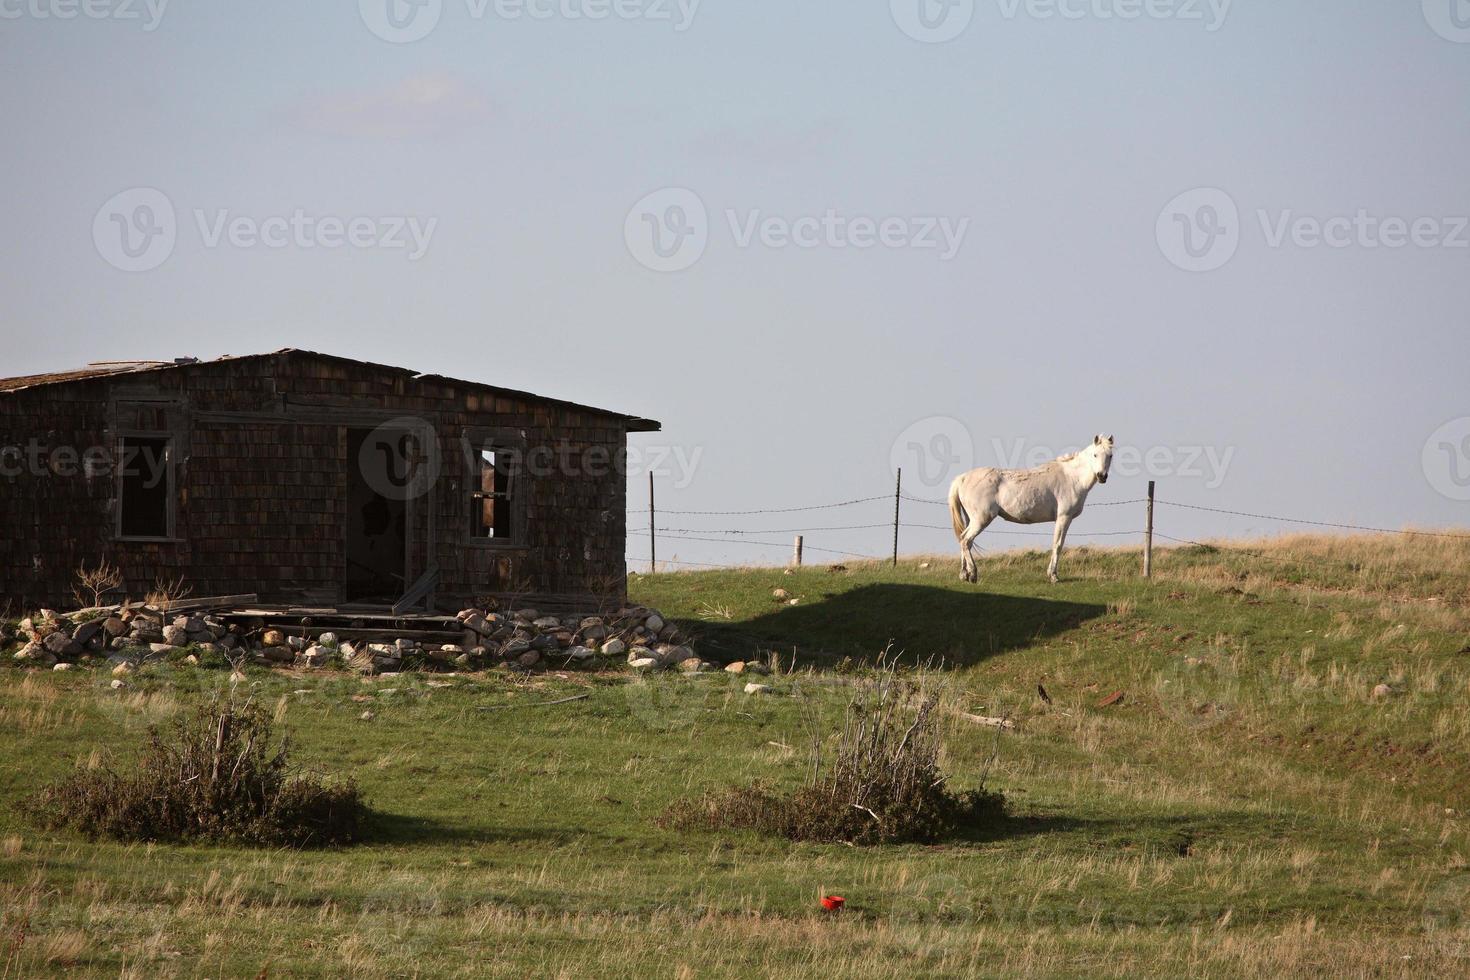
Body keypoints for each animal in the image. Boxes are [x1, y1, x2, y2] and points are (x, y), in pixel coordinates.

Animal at [952, 434, 1111, 581]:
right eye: (1095, 454)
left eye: (1110, 455)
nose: (1102, 476)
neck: (1072, 478)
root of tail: (963, 478)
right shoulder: (1064, 518)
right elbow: (1058, 545)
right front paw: (1053, 576)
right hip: (981, 519)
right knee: (966, 540)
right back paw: (973, 574)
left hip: (971, 519)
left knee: (964, 540)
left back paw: (964, 574)